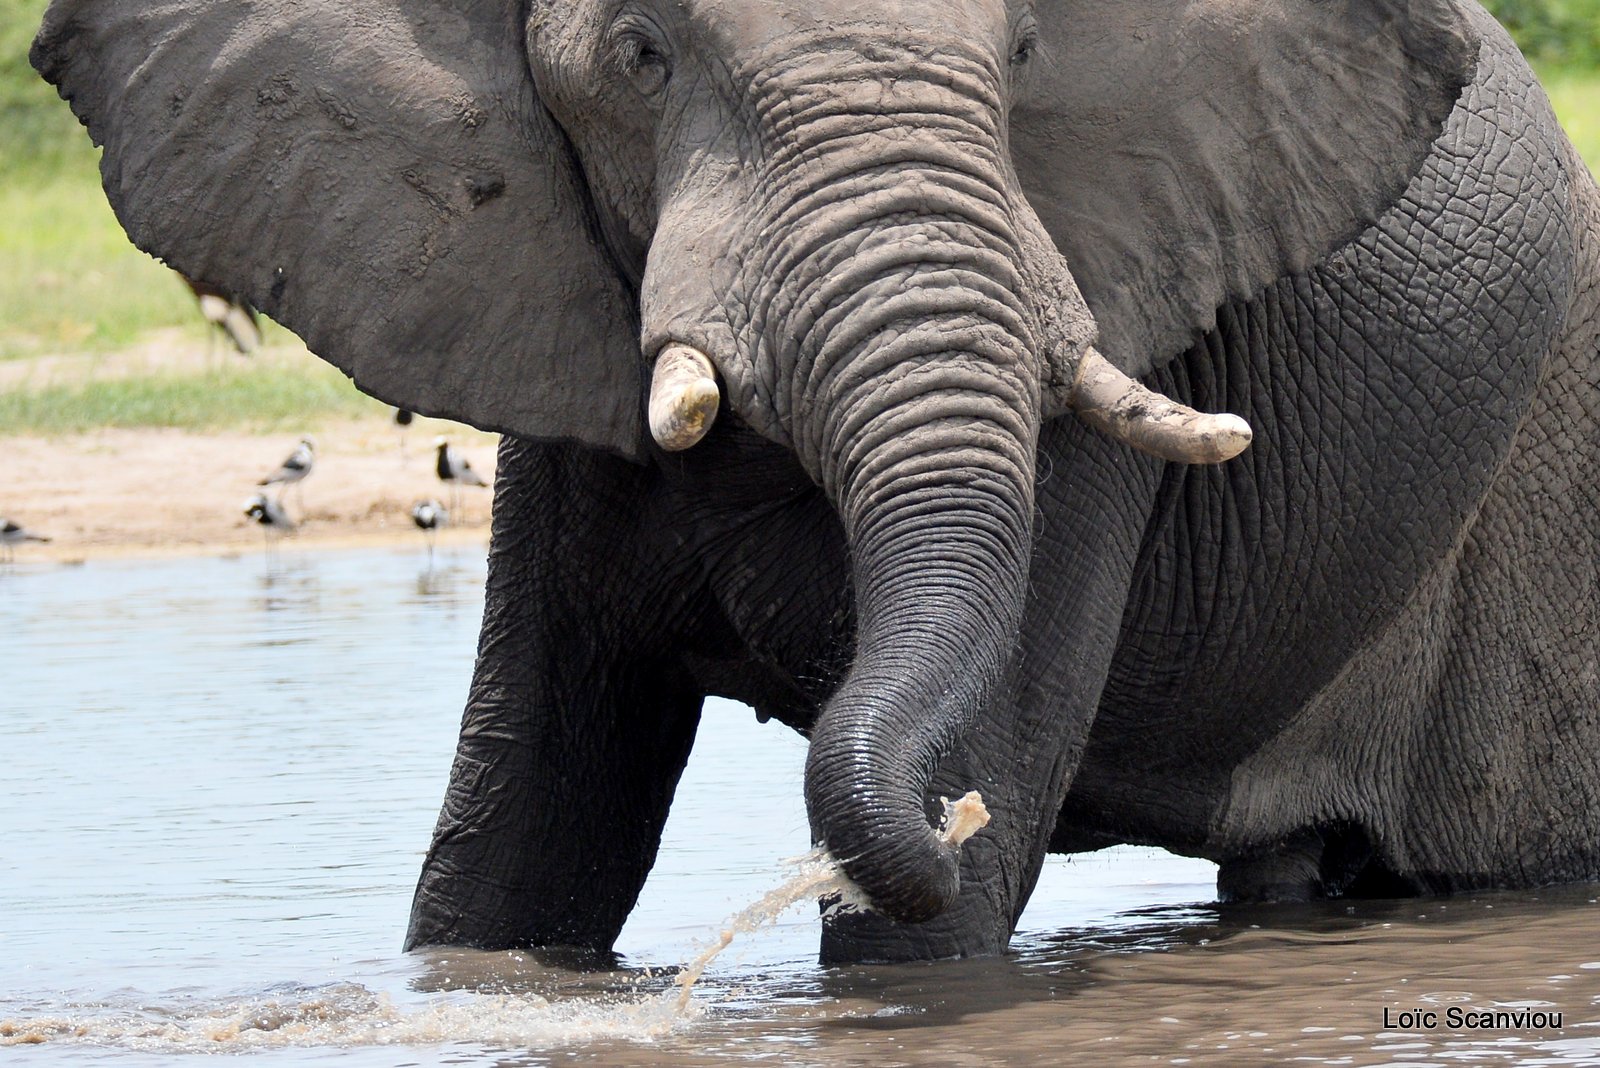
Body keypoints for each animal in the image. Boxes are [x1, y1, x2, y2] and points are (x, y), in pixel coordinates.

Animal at [34, 0, 1600, 965]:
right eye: (639, 55)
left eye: (1025, 48)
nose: (942, 831)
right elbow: (526, 823)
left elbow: (937, 907)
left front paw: (945, 867)